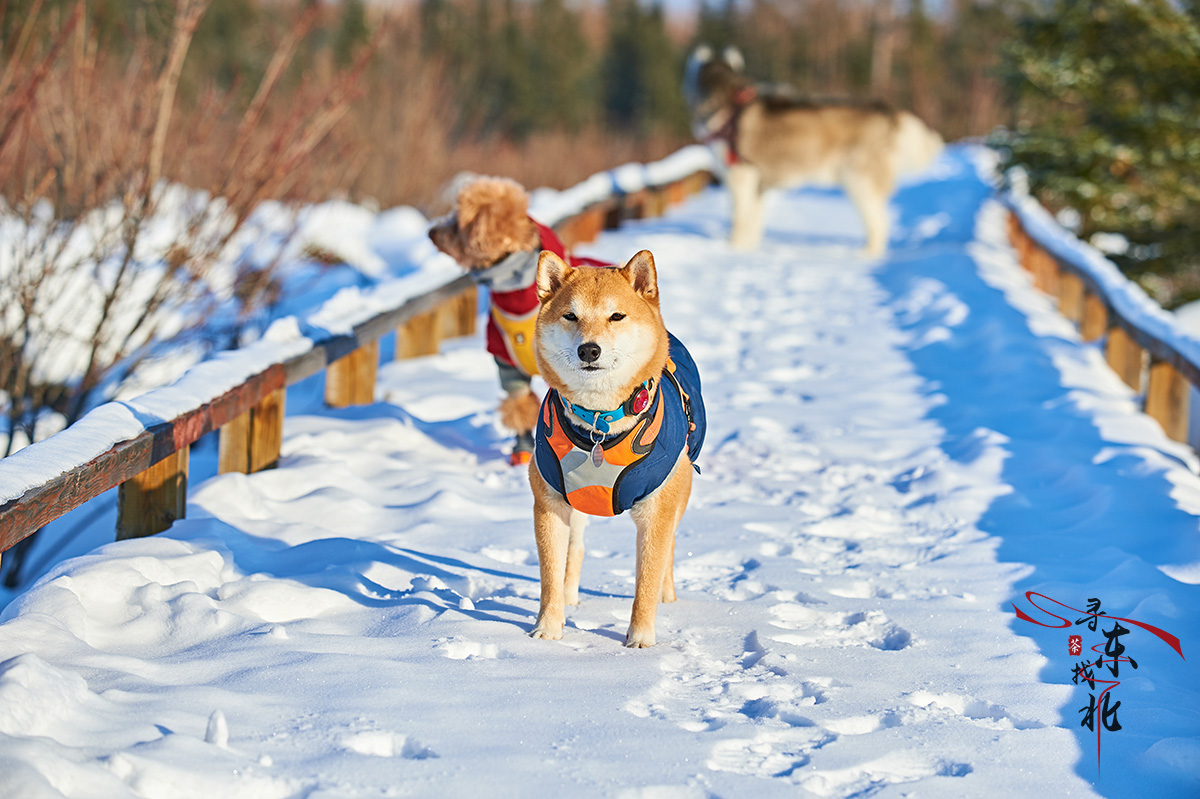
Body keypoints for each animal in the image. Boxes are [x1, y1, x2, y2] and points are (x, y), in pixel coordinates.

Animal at [686, 44, 945, 255]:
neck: (728, 104)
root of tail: (888, 111)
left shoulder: (740, 175)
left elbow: (739, 218)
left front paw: (735, 248)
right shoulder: (759, 184)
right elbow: (753, 220)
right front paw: (749, 246)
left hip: (859, 180)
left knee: (879, 222)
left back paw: (868, 253)